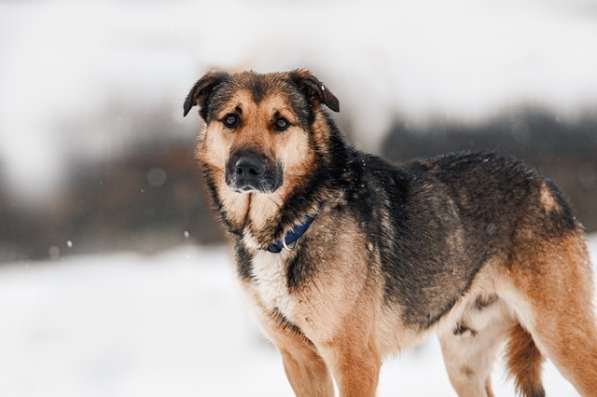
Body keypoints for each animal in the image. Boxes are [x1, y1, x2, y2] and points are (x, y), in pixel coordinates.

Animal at [182, 69, 596, 394]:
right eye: (231, 120)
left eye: (281, 122)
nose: (247, 168)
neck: (293, 222)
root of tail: (544, 182)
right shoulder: (300, 361)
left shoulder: (354, 360)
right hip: (464, 359)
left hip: (561, 334)